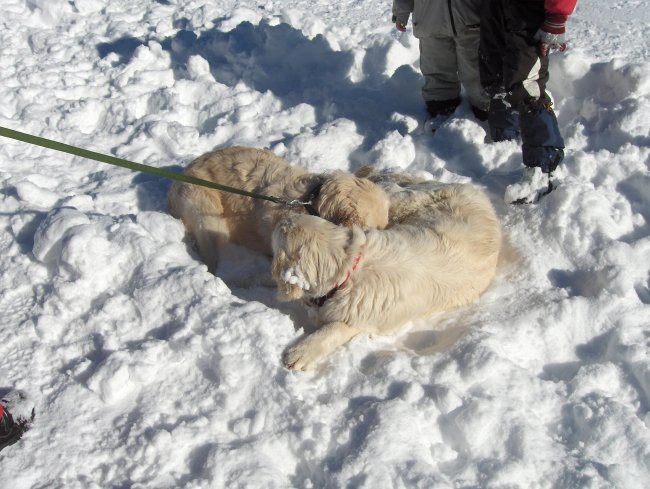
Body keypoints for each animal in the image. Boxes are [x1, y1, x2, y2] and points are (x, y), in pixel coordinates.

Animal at [270, 179, 502, 370]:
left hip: (408, 202)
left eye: (281, 231)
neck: (349, 266)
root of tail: (475, 191)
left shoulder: (365, 319)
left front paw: (302, 352)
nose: (286, 216)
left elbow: (336, 328)